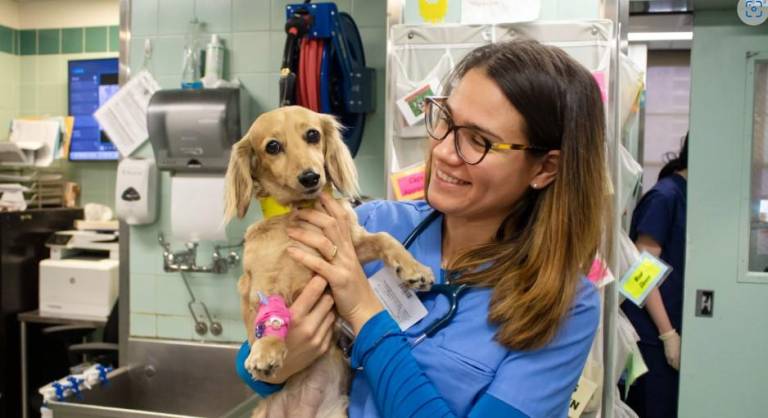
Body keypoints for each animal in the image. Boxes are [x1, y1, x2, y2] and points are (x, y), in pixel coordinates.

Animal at [225, 107, 436, 418]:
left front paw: (413, 268)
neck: (302, 211)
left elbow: (385, 238)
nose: (310, 177)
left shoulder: (351, 245)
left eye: (313, 134)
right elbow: (272, 312)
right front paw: (267, 348)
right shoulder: (264, 282)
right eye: (272, 147)